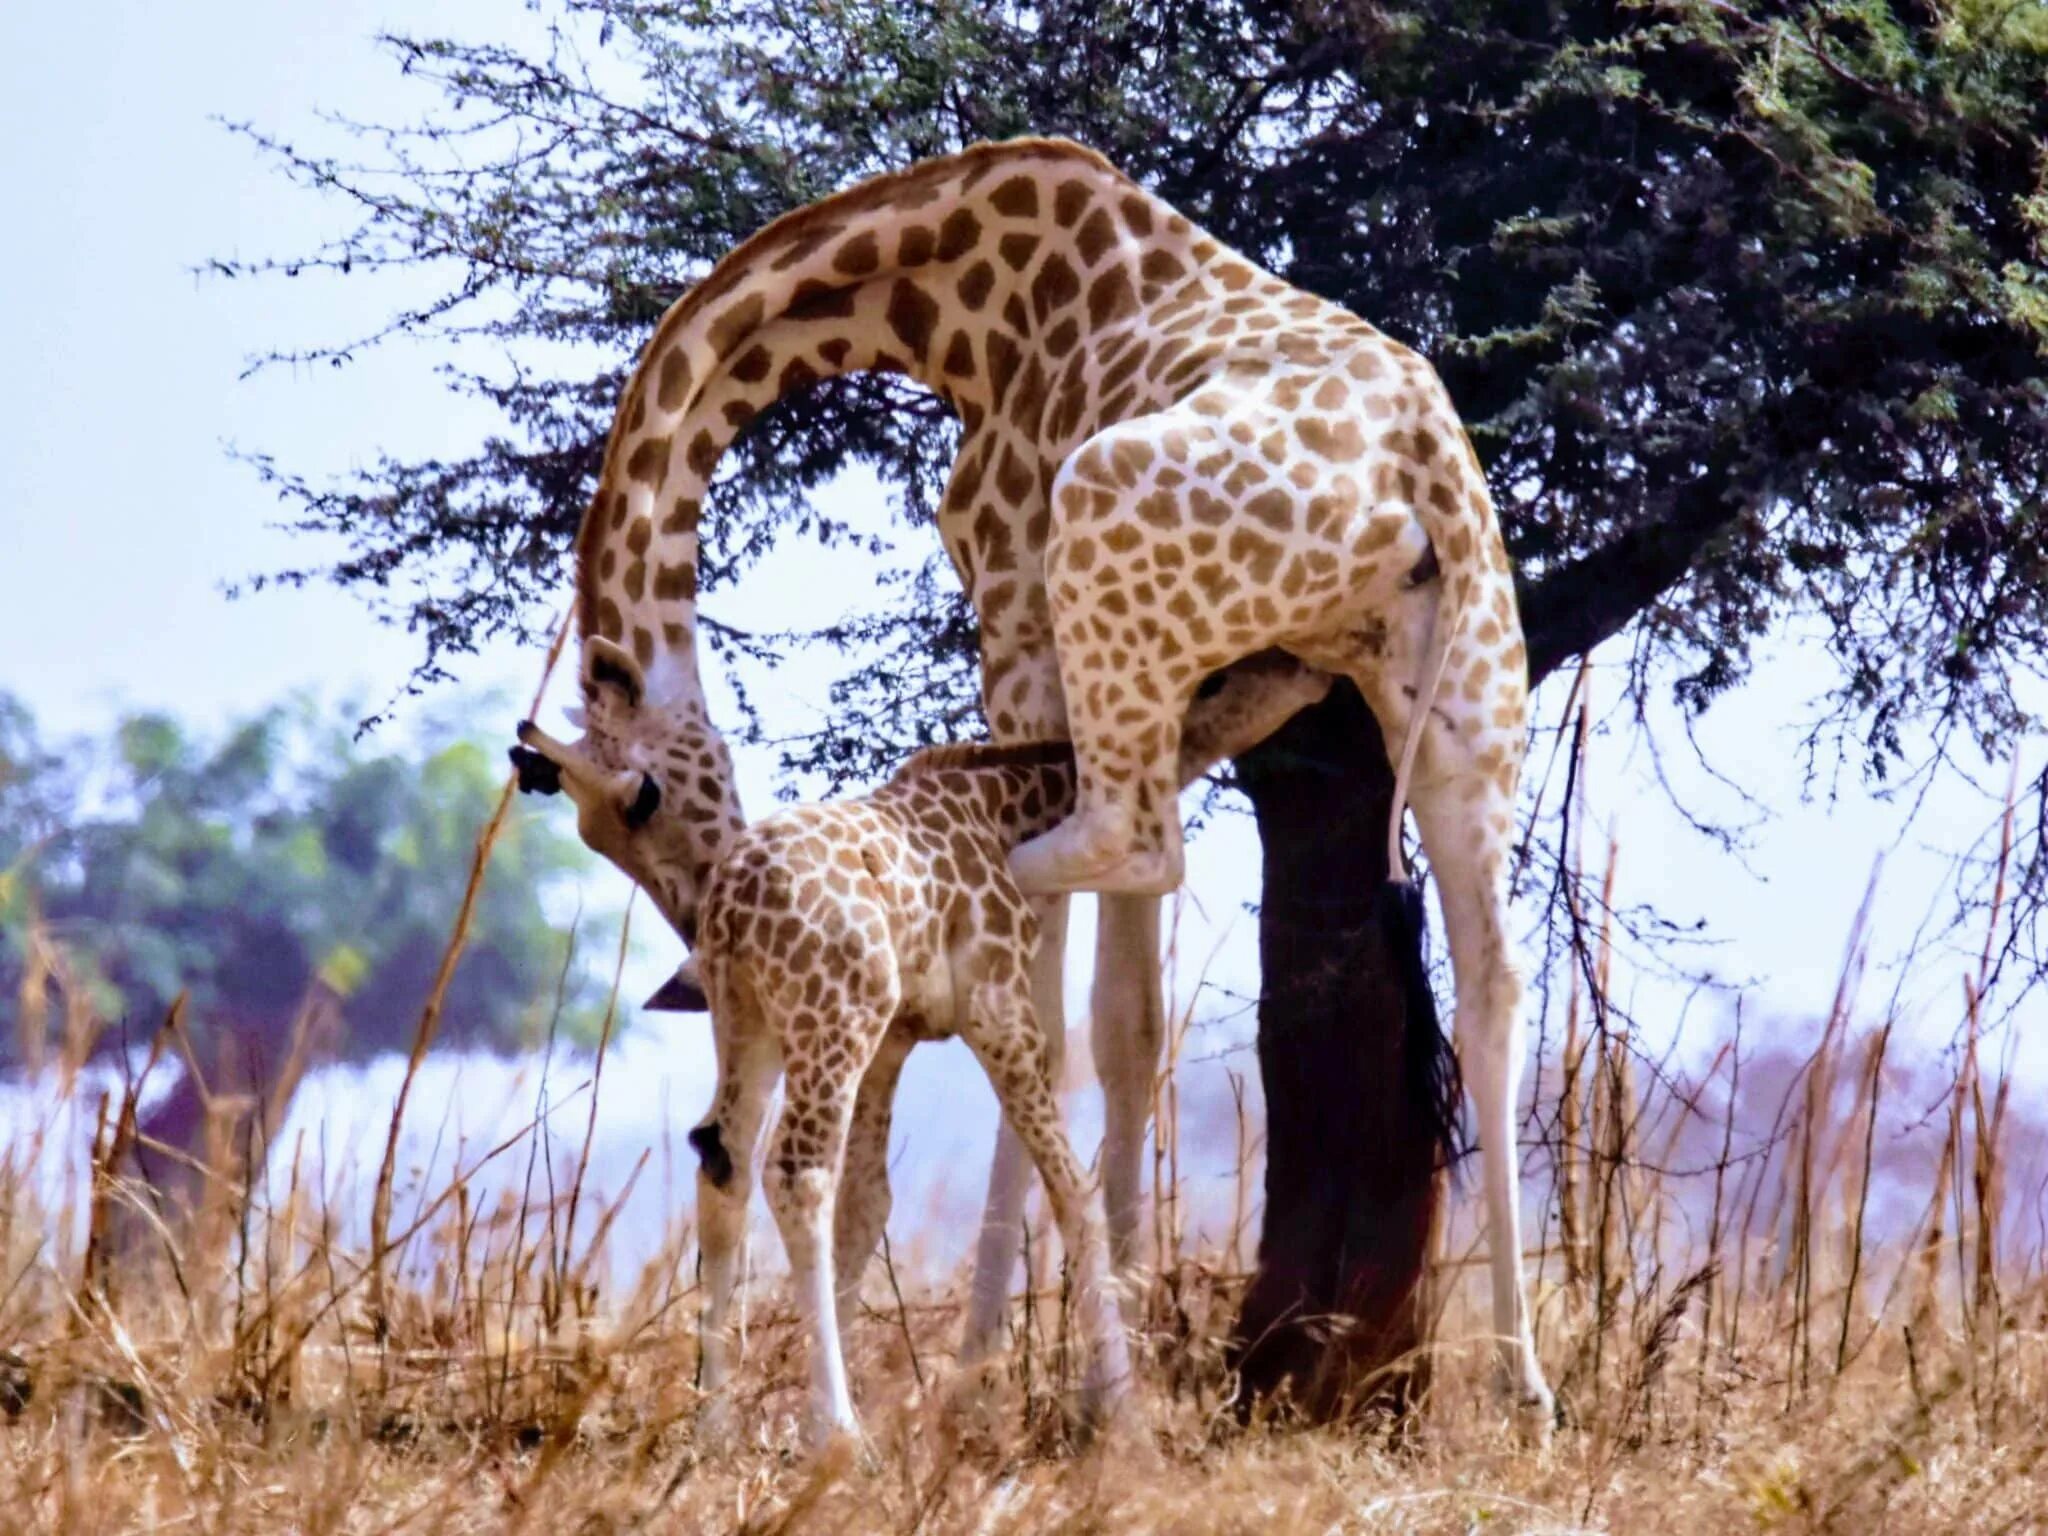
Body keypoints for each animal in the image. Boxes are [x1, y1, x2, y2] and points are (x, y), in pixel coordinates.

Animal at [667, 651, 1327, 1458]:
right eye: (1234, 676)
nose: (1309, 671)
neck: (1015, 809)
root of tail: (732, 900)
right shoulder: (996, 1002)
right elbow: (1072, 1186)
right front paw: (1123, 1418)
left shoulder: (896, 1037)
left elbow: (867, 1207)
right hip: (832, 1016)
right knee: (796, 1171)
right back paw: (840, 1433)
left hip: (747, 1019)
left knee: (722, 1159)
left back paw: (714, 1424)